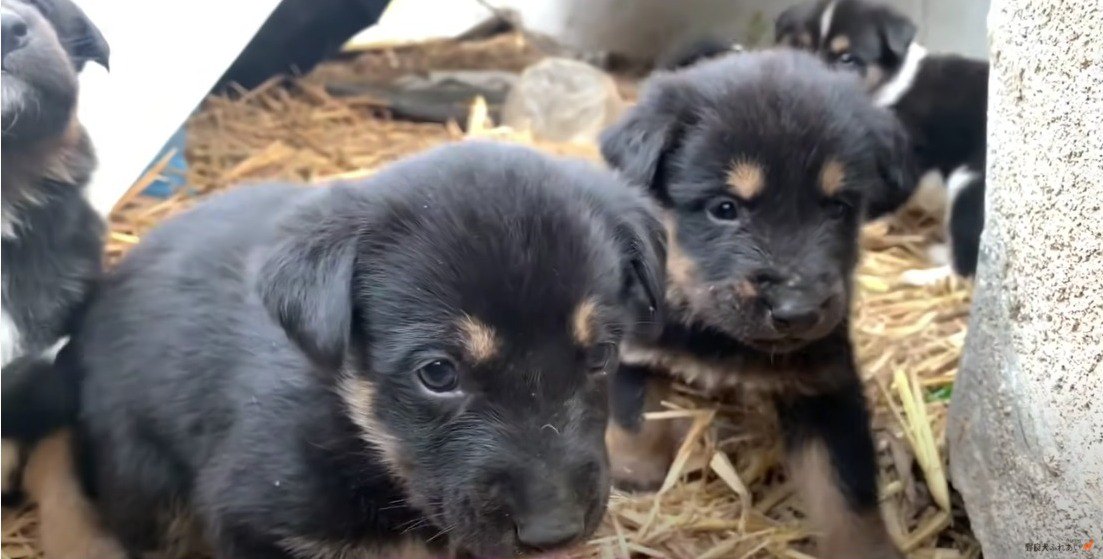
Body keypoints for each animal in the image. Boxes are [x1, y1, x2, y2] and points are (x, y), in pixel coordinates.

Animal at [68, 141, 666, 559]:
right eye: (438, 373)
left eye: (600, 356)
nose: (556, 532)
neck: (362, 437)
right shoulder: (252, 521)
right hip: (143, 477)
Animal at [604, 49, 913, 559]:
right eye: (724, 208)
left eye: (838, 208)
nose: (798, 311)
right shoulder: (634, 345)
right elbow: (634, 415)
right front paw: (634, 472)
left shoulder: (826, 387)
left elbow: (845, 489)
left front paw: (866, 548)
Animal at [776, 0, 992, 282]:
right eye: (800, 47)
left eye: (847, 59)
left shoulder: (900, 169)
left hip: (969, 187)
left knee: (966, 265)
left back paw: (924, 276)